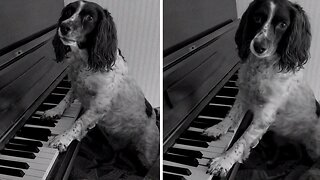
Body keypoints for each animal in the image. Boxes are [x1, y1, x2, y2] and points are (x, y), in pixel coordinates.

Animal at [42, 0, 160, 169]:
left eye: (90, 17)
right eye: (68, 12)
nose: (63, 27)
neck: (85, 61)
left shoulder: (98, 106)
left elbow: (79, 123)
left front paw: (61, 139)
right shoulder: (76, 85)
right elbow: (66, 98)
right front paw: (54, 111)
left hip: (146, 154)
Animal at [204, 0, 320, 177]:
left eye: (283, 24)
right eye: (257, 18)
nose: (259, 46)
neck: (261, 68)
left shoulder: (264, 116)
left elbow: (241, 141)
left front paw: (223, 161)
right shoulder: (243, 94)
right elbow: (232, 115)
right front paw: (218, 128)